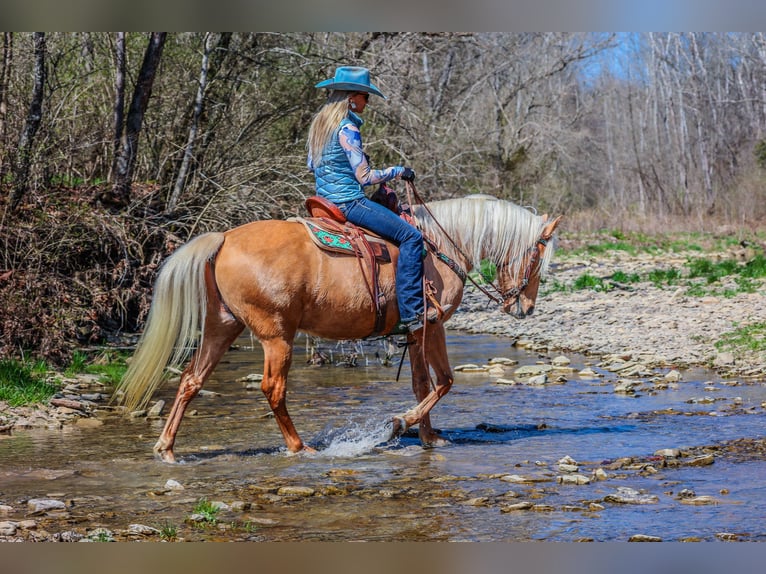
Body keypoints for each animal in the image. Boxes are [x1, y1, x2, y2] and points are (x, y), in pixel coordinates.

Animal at [114, 194, 560, 464]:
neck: (439, 247)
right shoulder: (432, 326)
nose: (525, 308)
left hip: (222, 328)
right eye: (538, 258)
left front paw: (429, 438)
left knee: (191, 380)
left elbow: (423, 384)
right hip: (277, 336)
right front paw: (398, 424)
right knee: (273, 388)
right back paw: (299, 447)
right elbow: (445, 381)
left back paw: (166, 448)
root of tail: (222, 238)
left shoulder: (415, 332)